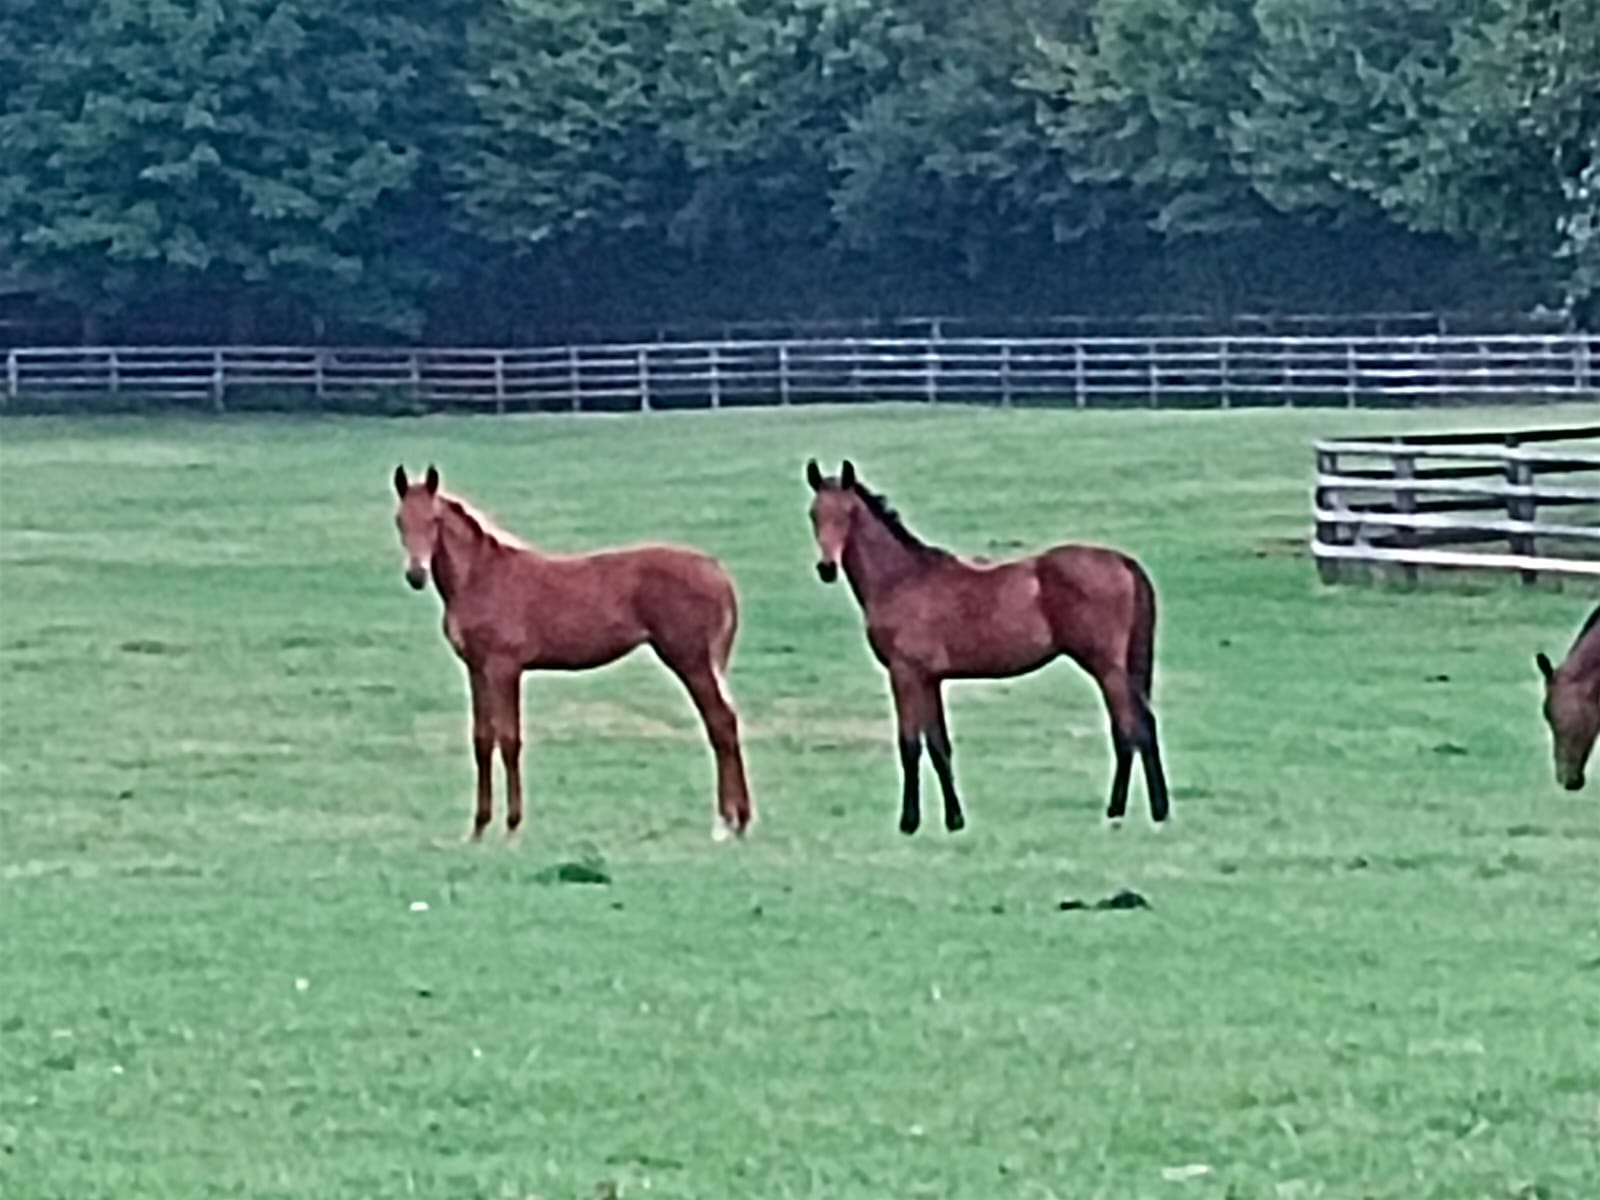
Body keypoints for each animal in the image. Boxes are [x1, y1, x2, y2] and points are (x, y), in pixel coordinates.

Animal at [393, 464, 755, 838]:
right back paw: (735, 819)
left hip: (691, 660)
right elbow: (482, 739)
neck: (480, 578)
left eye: (434, 520)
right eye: (399, 520)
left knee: (721, 722)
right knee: (723, 722)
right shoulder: (476, 668)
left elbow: (509, 739)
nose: (416, 574)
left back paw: (730, 822)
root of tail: (717, 572)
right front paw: (479, 827)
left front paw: (512, 826)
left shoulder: (505, 667)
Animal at [806, 460, 1171, 838]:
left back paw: (1116, 813)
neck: (901, 580)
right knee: (1145, 724)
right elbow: (939, 746)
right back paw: (1159, 812)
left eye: (848, 513)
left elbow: (910, 745)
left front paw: (909, 822)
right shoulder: (930, 679)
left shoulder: (904, 673)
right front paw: (954, 820)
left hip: (1105, 666)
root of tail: (1123, 561)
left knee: (1127, 730)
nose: (826, 568)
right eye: (814, 514)